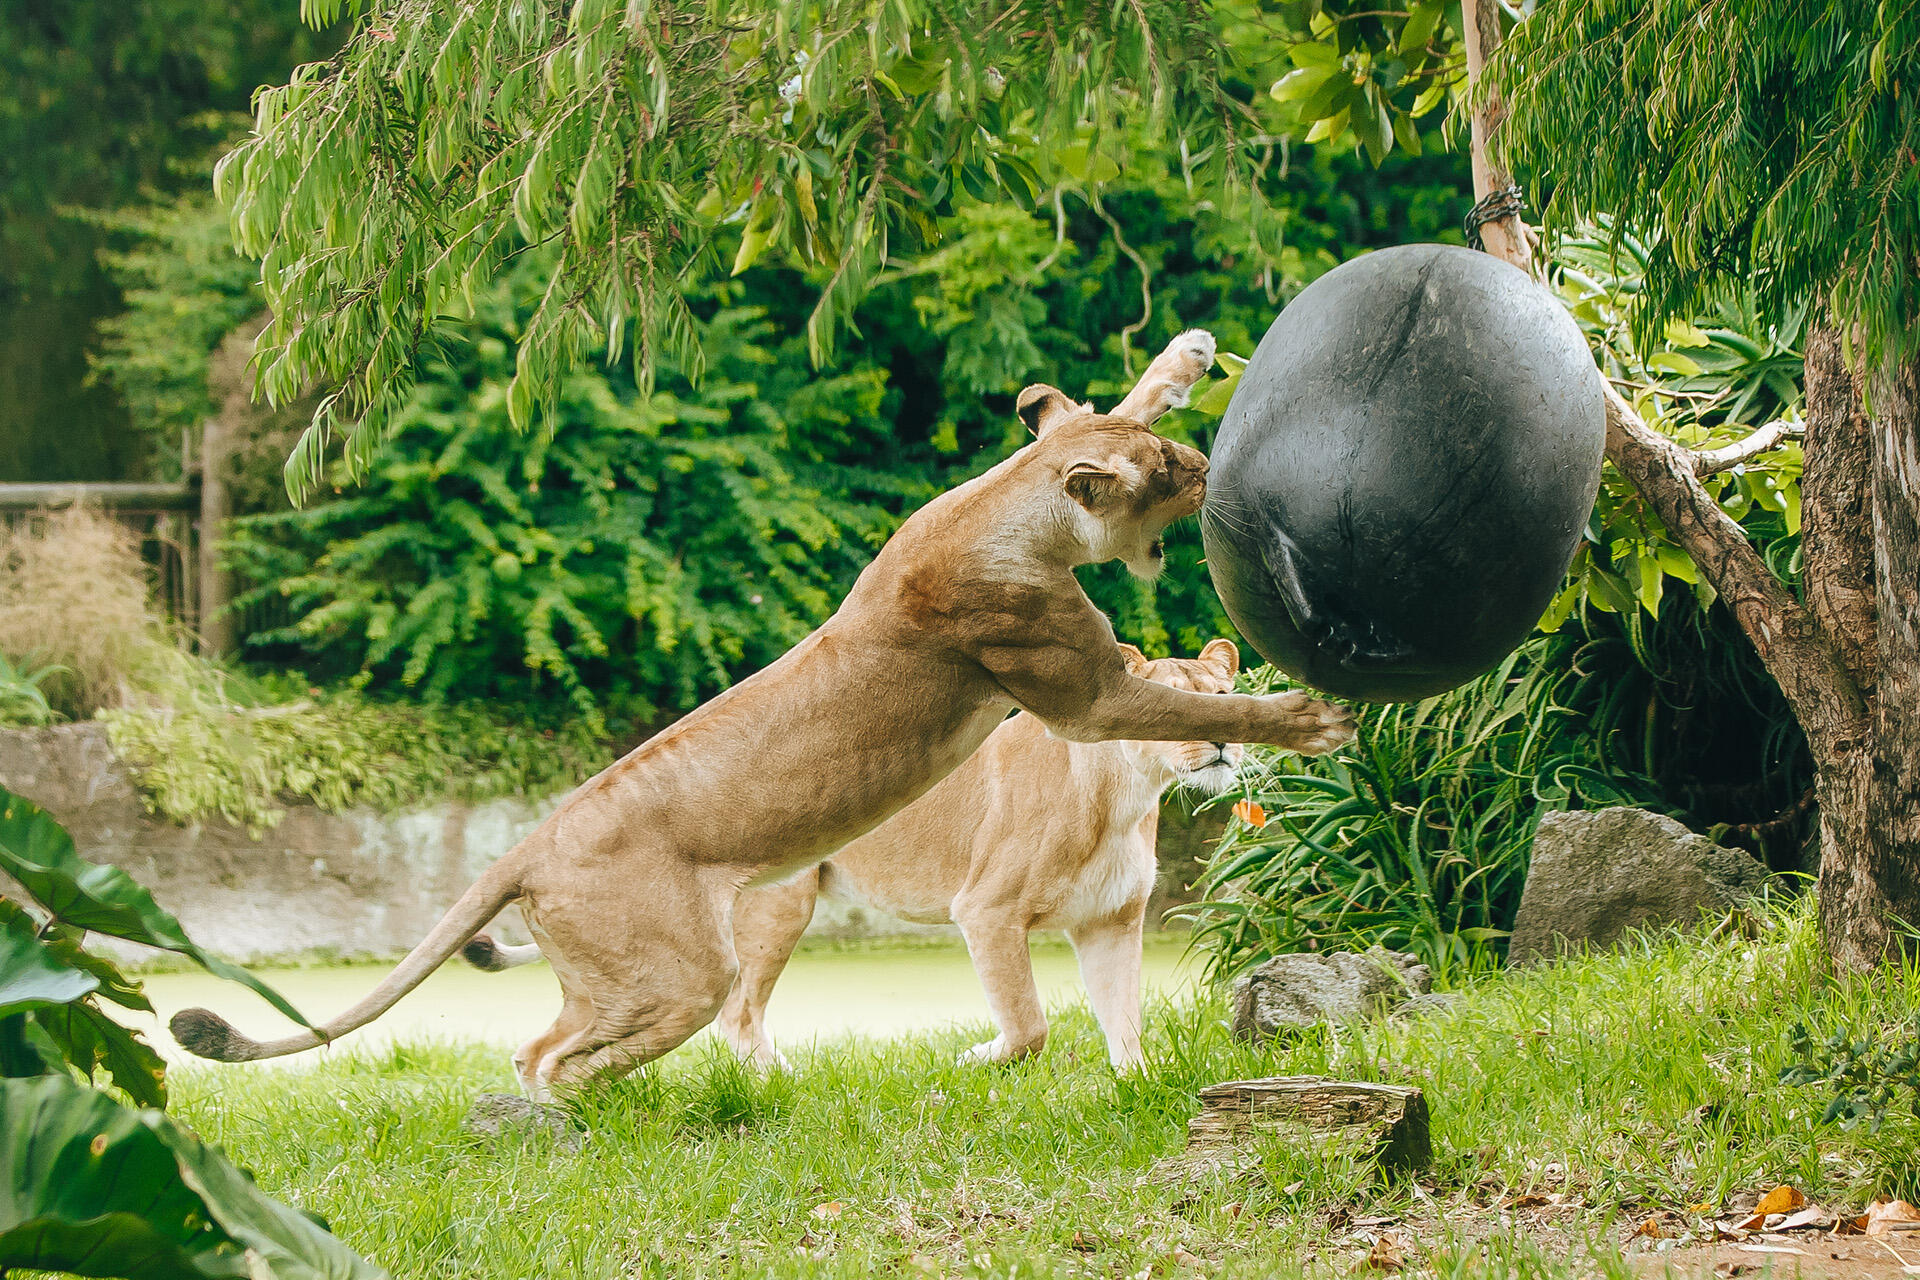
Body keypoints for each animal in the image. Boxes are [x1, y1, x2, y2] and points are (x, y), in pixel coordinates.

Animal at [171, 331, 1353, 1099]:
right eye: (1170, 473)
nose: (1208, 471)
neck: (1008, 516)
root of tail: (526, 843)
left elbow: (1085, 409)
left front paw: (1182, 359)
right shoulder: (1082, 697)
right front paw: (1309, 721)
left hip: (636, 973)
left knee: (545, 1039)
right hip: (692, 968)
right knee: (567, 1052)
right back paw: (586, 1125)